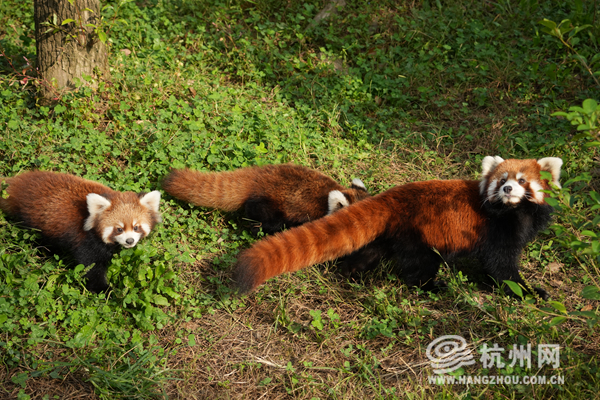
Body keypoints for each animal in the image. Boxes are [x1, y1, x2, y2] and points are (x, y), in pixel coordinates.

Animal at [0, 170, 162, 292]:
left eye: (136, 227)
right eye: (119, 229)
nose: (130, 241)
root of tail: (17, 182)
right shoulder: (86, 240)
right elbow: (90, 267)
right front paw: (105, 290)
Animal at [233, 157, 564, 300]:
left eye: (522, 181)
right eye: (501, 180)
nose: (507, 188)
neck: (514, 212)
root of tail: (392, 197)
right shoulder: (495, 232)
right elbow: (501, 269)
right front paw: (529, 292)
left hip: (391, 234)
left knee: (367, 253)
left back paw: (352, 275)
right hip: (417, 235)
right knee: (419, 267)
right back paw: (433, 287)